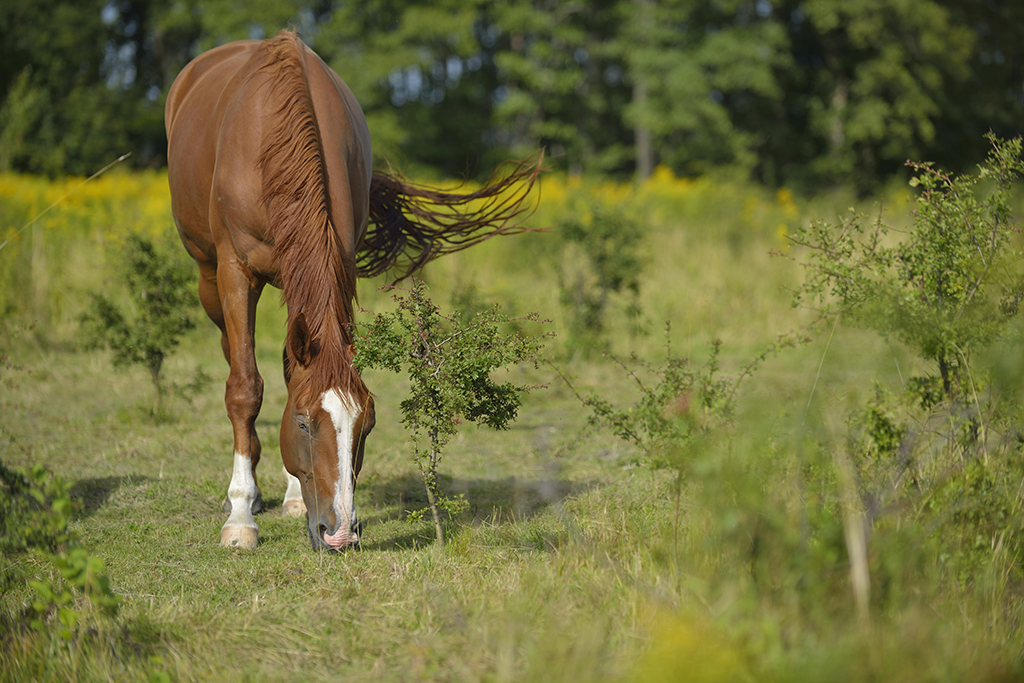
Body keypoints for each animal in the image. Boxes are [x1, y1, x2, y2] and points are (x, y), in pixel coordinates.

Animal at [165, 29, 539, 551]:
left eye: (367, 425)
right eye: (303, 423)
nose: (339, 532)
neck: (272, 144)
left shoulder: (329, 270)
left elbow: (291, 375)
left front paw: (294, 496)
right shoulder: (235, 271)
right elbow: (244, 388)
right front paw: (240, 516)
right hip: (207, 273)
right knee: (231, 351)